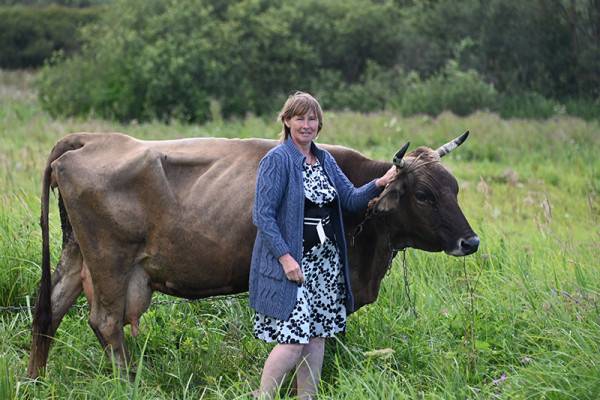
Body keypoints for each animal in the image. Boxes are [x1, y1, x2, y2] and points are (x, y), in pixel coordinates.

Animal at [28, 130, 480, 378]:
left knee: (48, 308)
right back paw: (128, 382)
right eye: (423, 195)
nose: (470, 242)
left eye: (455, 188)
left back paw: (37, 380)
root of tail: (92, 139)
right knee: (105, 322)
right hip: (110, 261)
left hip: (76, 253)